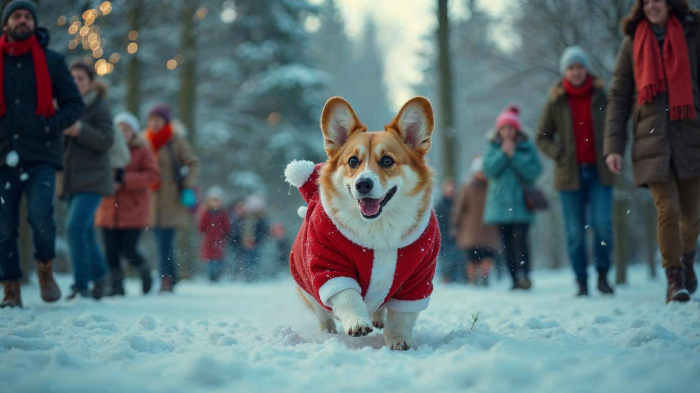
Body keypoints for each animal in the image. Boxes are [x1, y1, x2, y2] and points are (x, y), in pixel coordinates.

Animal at [284, 95, 438, 350]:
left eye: (387, 160)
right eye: (353, 161)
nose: (363, 184)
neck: (379, 228)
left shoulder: (418, 277)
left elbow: (402, 316)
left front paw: (400, 340)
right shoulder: (330, 264)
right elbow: (348, 296)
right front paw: (357, 324)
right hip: (306, 283)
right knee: (321, 310)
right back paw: (329, 328)